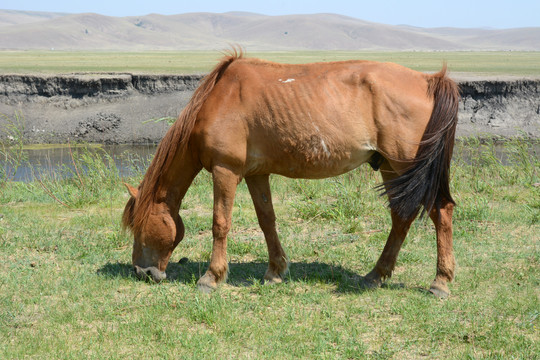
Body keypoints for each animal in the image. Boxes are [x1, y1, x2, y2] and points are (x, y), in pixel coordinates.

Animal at [123, 50, 460, 298]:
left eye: (138, 227)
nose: (142, 272)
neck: (221, 98)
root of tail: (430, 81)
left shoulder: (225, 171)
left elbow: (220, 223)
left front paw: (212, 277)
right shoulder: (256, 174)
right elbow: (267, 220)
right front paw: (275, 271)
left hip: (405, 167)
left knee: (440, 212)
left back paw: (440, 282)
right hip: (391, 168)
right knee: (401, 218)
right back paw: (375, 275)